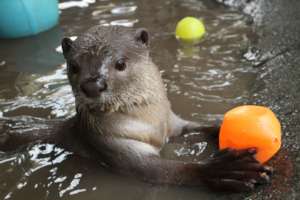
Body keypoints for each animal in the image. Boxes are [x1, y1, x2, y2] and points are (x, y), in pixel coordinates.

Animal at [0, 25, 272, 192]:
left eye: (120, 63)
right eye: (74, 67)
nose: (92, 84)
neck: (150, 124)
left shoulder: (172, 123)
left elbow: (196, 126)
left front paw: (220, 127)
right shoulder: (110, 146)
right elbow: (165, 171)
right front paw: (224, 170)